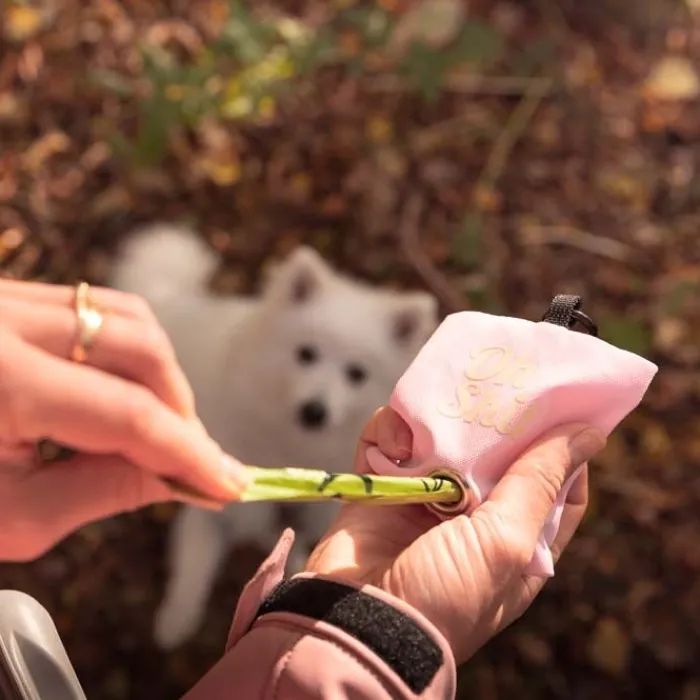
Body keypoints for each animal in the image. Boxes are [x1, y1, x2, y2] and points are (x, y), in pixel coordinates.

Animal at [109, 223, 438, 644]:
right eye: (306, 354)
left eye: (356, 374)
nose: (314, 410)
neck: (290, 443)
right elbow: (203, 554)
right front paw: (176, 620)